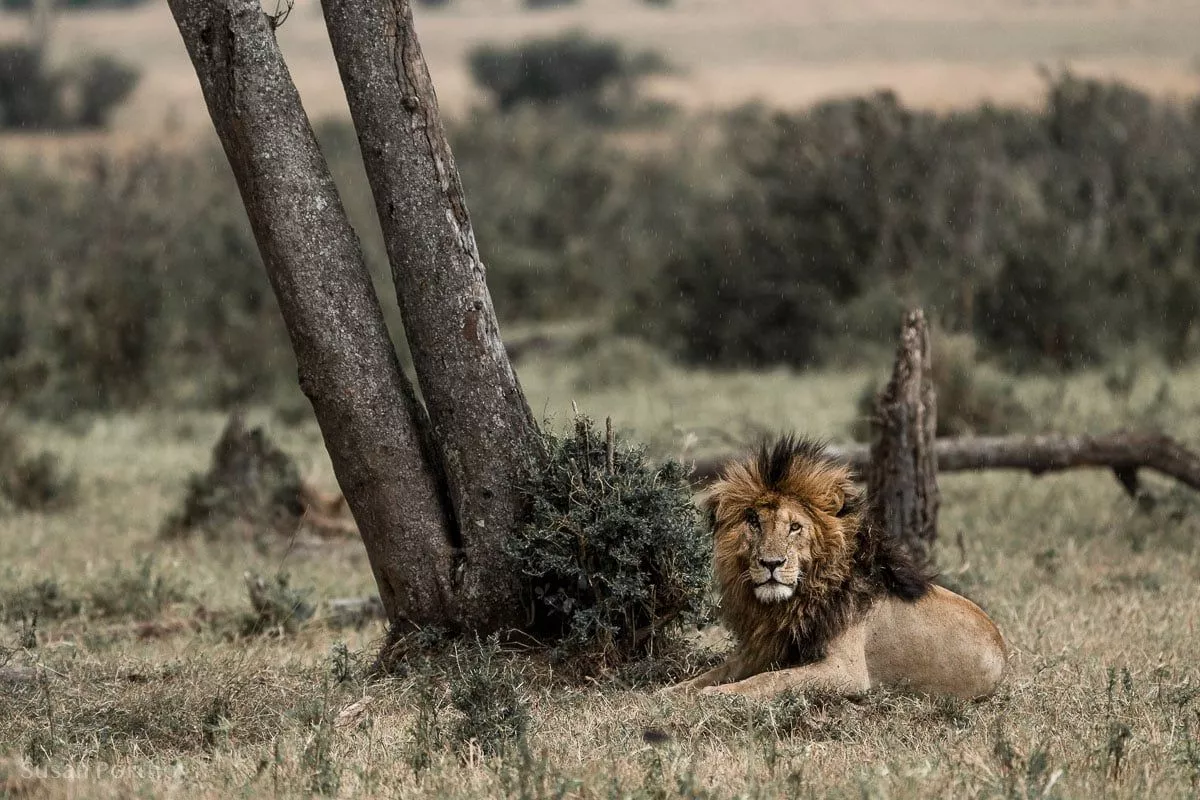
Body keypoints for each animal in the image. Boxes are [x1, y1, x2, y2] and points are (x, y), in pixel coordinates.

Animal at [667, 435, 1006, 700]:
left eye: (794, 527)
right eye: (754, 522)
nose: (771, 563)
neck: (794, 602)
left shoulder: (845, 670)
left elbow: (771, 679)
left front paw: (718, 695)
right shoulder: (766, 649)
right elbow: (711, 673)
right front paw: (670, 693)